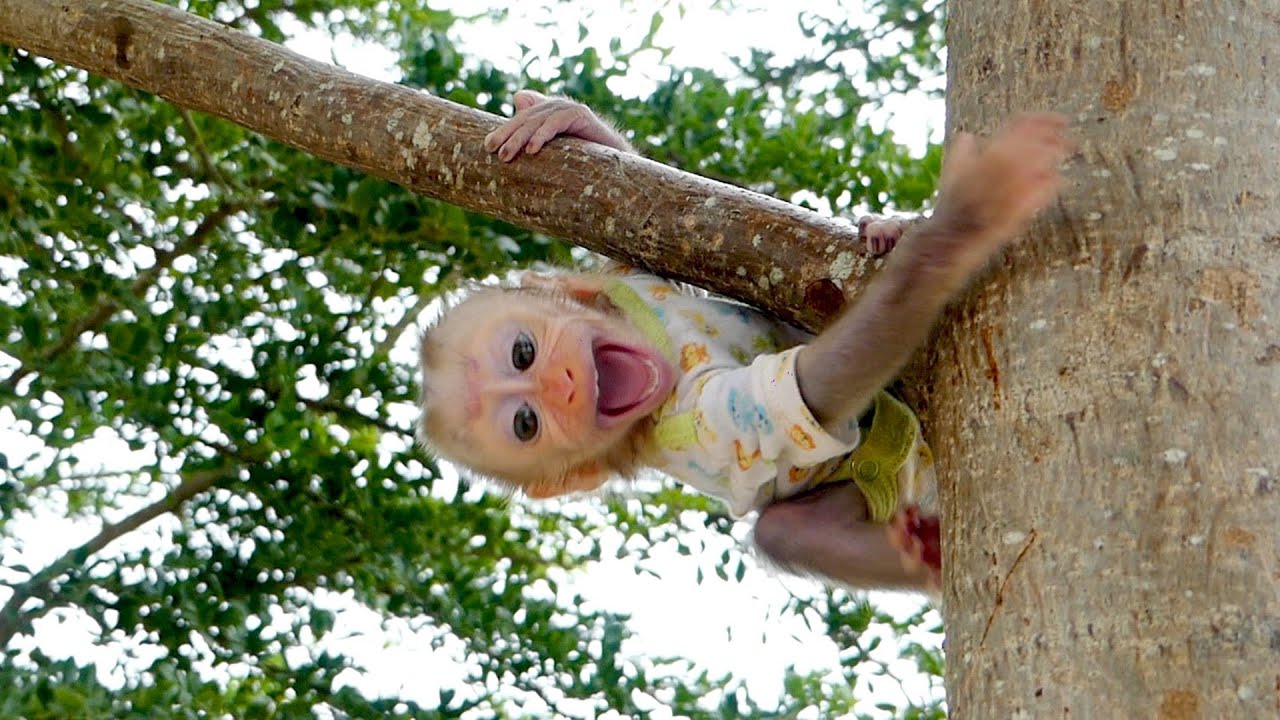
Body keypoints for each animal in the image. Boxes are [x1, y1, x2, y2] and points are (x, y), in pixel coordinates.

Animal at [419, 90, 1068, 591]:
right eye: (526, 424)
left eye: (523, 352)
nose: (565, 383)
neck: (660, 337)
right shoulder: (701, 421)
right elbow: (794, 395)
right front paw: (969, 217)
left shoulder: (636, 279)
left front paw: (565, 118)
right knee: (785, 530)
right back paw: (925, 557)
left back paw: (888, 230)